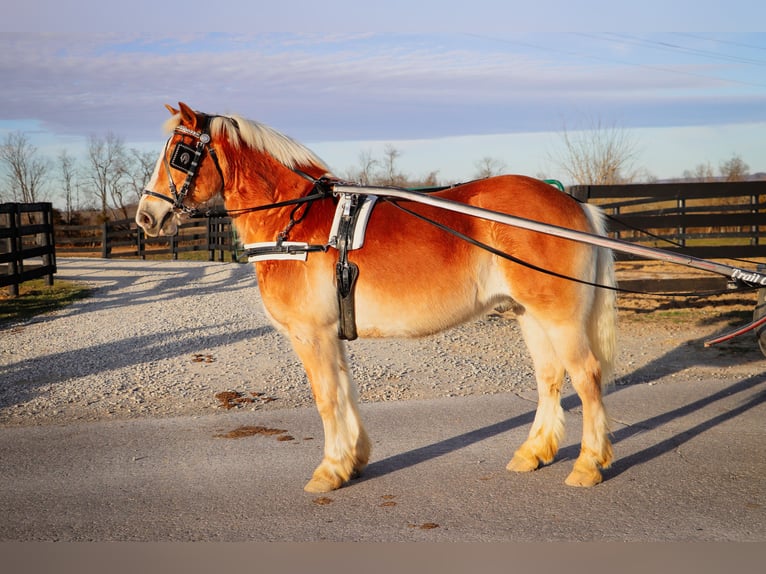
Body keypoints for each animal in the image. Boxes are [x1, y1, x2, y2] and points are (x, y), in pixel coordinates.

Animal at [136, 103, 616, 496]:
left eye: (180, 153)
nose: (145, 216)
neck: (294, 221)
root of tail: (573, 203)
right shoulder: (331, 335)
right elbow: (344, 391)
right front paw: (353, 460)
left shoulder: (311, 335)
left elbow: (325, 397)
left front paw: (330, 470)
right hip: (530, 314)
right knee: (550, 377)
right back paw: (533, 452)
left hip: (560, 317)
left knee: (586, 376)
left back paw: (588, 464)